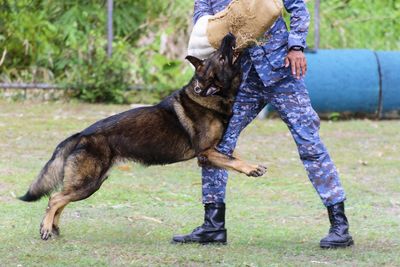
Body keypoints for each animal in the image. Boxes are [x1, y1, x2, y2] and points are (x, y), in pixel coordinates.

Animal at [20, 33, 268, 241]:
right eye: (221, 56)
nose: (229, 35)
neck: (209, 95)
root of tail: (82, 135)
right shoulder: (206, 153)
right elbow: (233, 160)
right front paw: (252, 168)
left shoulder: (215, 151)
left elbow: (232, 158)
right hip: (88, 183)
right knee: (55, 198)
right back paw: (46, 228)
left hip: (91, 183)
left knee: (61, 199)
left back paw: (53, 227)